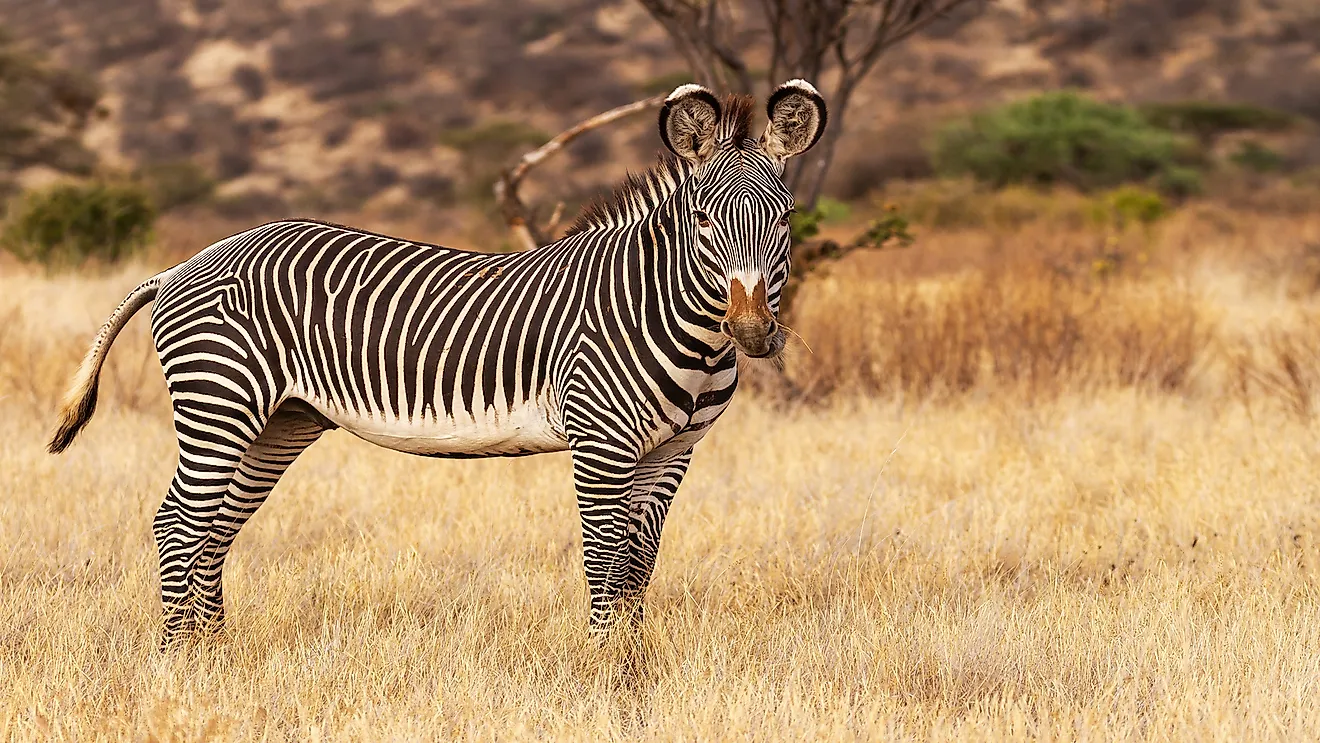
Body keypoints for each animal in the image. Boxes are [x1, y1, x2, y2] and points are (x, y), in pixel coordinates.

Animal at [48, 81, 823, 646]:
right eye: (705, 222)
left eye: (785, 220)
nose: (753, 332)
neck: (676, 321)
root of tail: (185, 263)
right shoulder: (601, 443)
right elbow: (604, 559)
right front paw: (605, 668)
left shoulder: (673, 451)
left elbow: (638, 563)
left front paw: (637, 664)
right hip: (219, 402)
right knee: (177, 523)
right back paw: (179, 660)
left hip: (279, 420)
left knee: (213, 529)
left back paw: (217, 657)